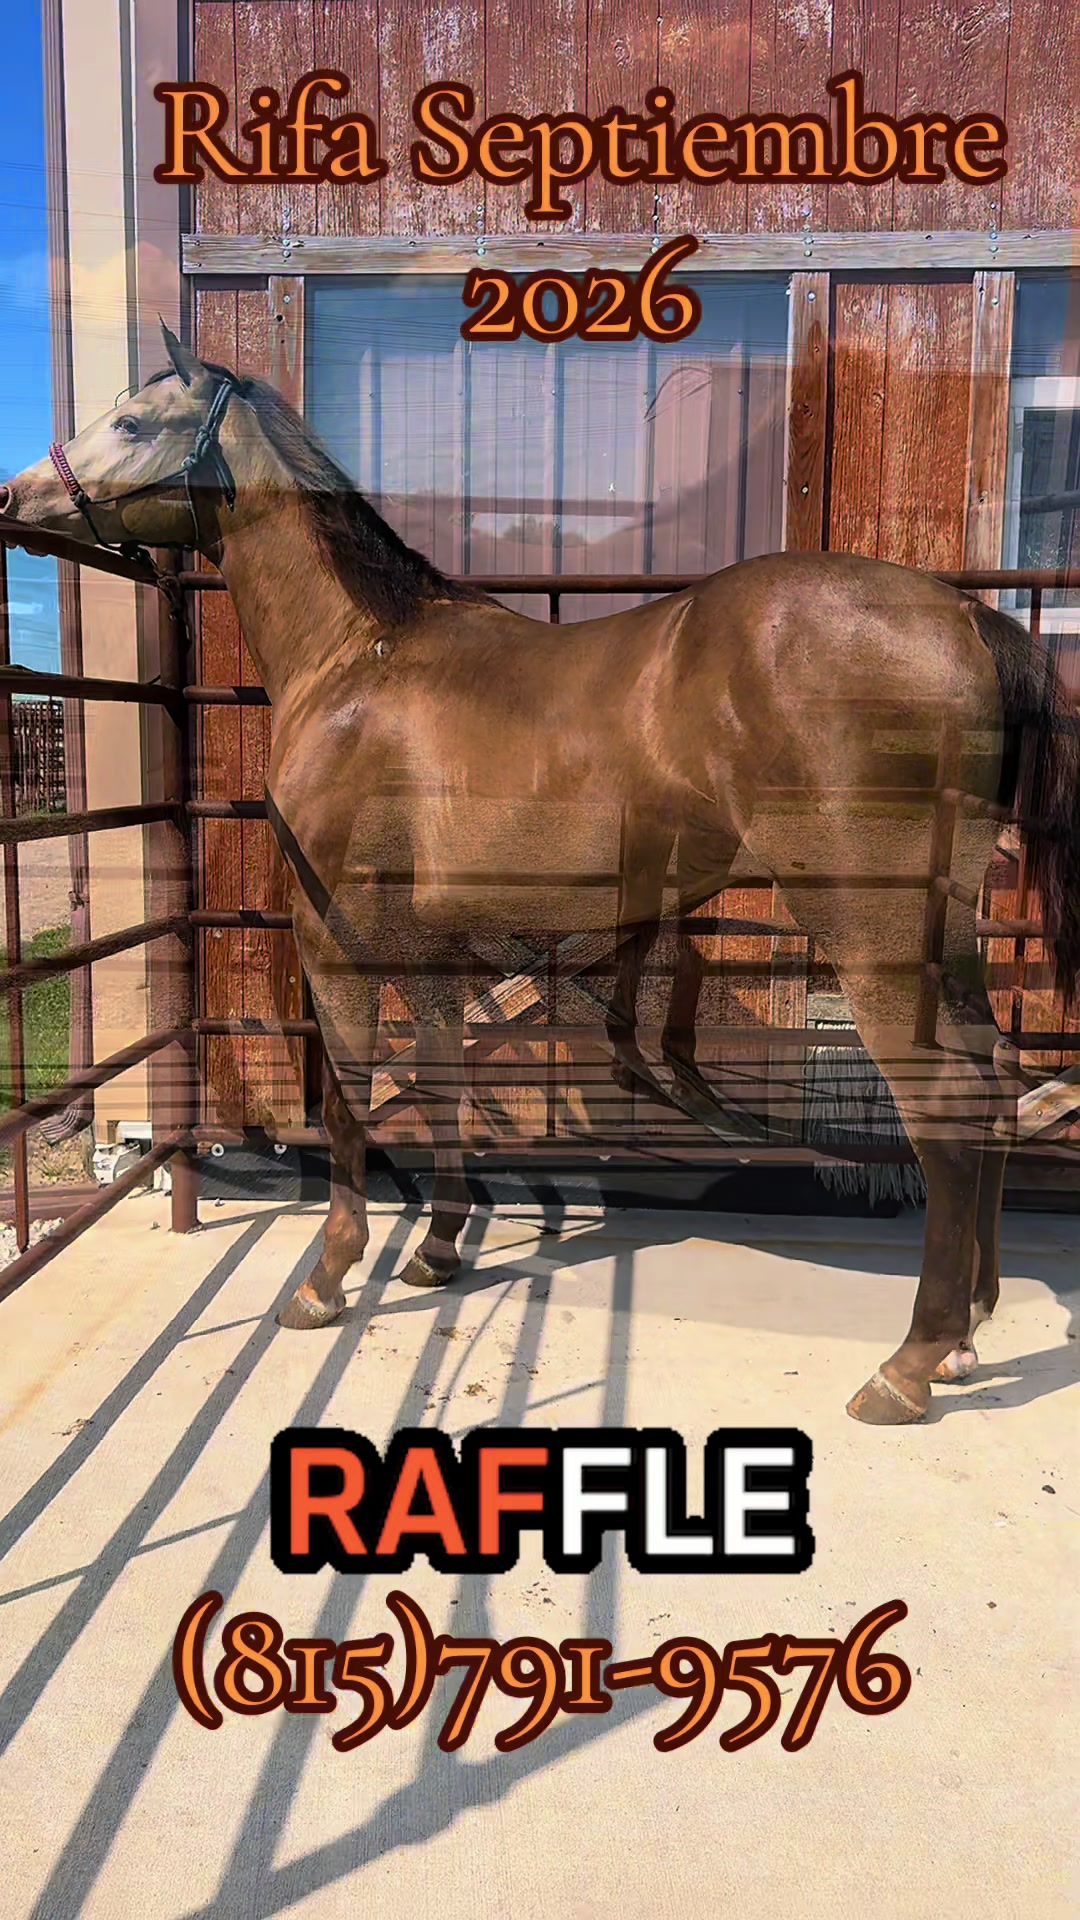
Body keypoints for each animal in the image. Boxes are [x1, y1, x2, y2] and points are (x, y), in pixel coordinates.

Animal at [3, 319, 1078, 1427]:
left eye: (134, 422)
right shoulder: (428, 944)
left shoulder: (331, 933)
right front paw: (438, 1249)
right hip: (945, 937)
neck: (357, 660)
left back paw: (911, 1363)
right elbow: (439, 1076)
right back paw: (966, 1330)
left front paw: (327, 1278)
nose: (16, 499)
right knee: (993, 1077)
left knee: (944, 1101)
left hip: (875, 938)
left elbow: (345, 1097)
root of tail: (969, 622)